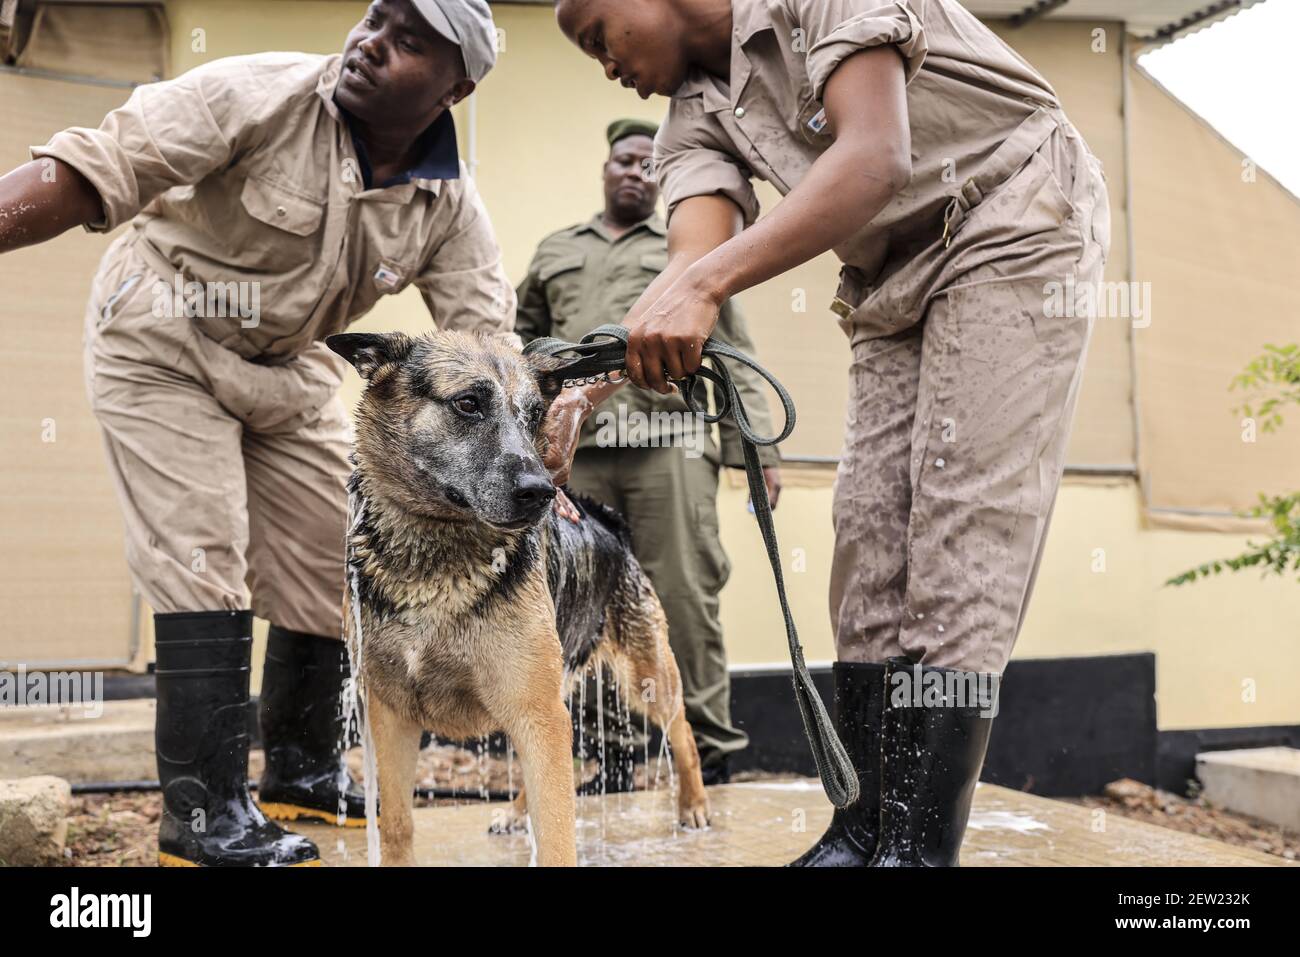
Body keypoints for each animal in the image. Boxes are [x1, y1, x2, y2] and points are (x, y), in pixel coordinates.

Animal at [325, 328, 712, 868]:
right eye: (468, 404)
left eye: (533, 416)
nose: (541, 491)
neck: (434, 558)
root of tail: (608, 522)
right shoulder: (392, 713)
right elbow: (398, 825)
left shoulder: (535, 711)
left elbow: (557, 841)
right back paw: (514, 813)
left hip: (645, 677)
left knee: (683, 732)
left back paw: (693, 803)